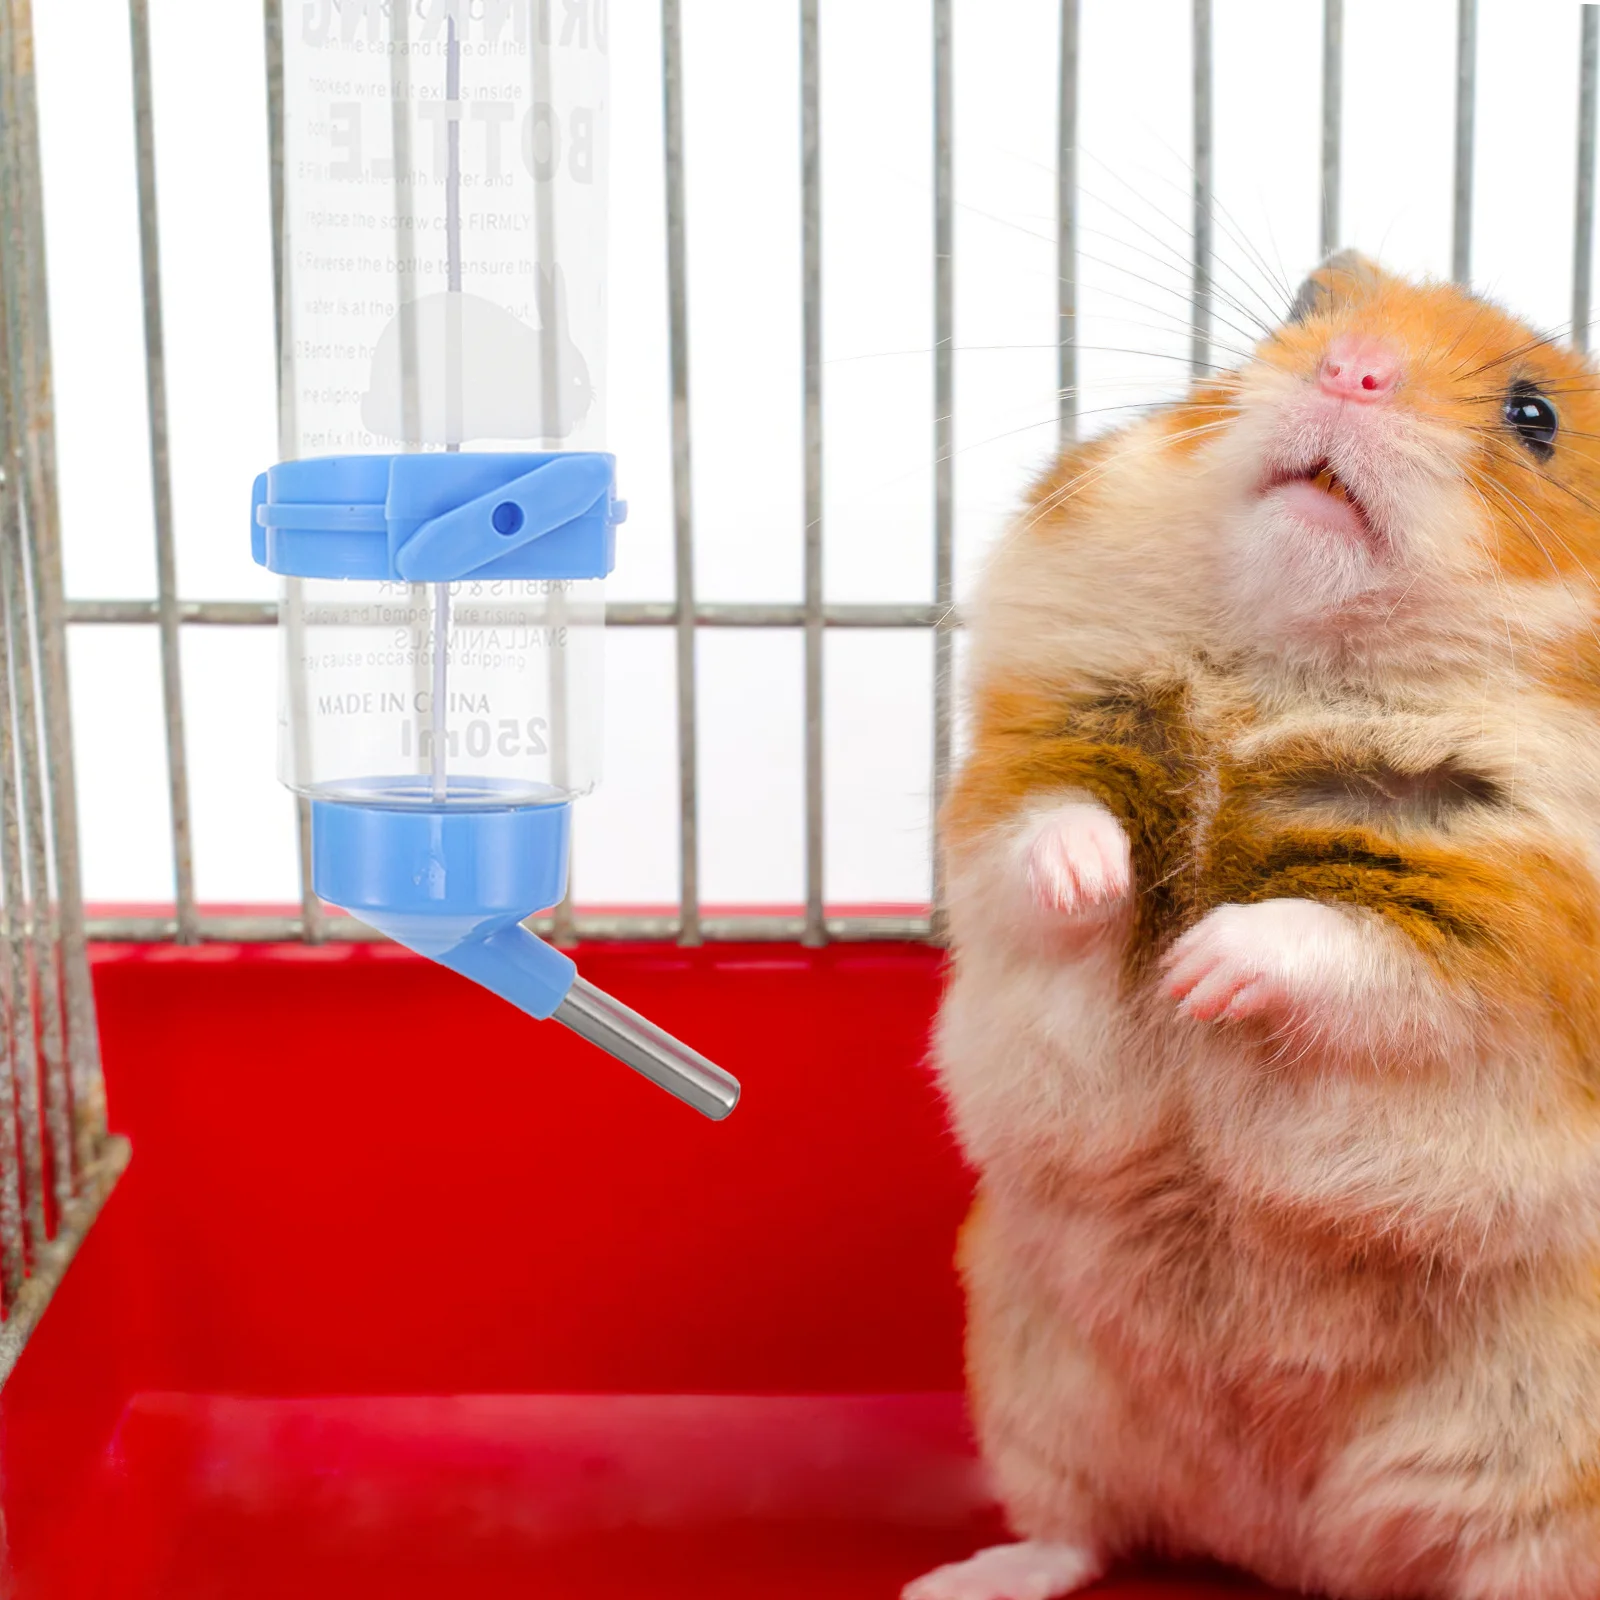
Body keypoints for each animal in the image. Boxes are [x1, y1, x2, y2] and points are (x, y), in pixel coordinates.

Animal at [907, 253, 1600, 1600]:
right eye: (1303, 312)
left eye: (1534, 416)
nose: (1352, 370)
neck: (1292, 666)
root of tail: (1286, 1543)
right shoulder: (1028, 749)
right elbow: (1043, 831)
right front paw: (1105, 890)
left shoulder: (1509, 928)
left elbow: (1342, 940)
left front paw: (1196, 969)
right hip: (1027, 1374)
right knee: (1077, 1527)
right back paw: (956, 1579)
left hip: (1552, 1485)